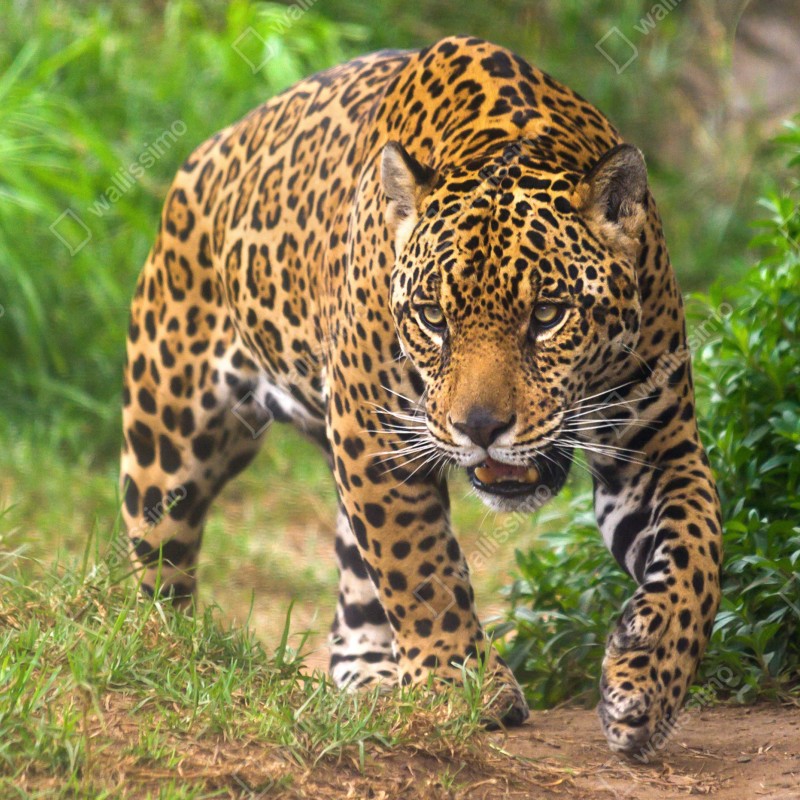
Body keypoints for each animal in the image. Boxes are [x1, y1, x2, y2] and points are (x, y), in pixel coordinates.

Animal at [120, 35, 723, 753]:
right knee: (158, 562)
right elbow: (419, 564)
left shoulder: (656, 445)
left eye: (548, 315)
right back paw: (164, 654)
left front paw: (648, 678)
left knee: (355, 590)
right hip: (170, 437)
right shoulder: (374, 432)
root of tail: (208, 151)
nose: (482, 427)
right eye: (434, 318)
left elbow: (697, 552)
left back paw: (375, 679)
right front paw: (461, 683)